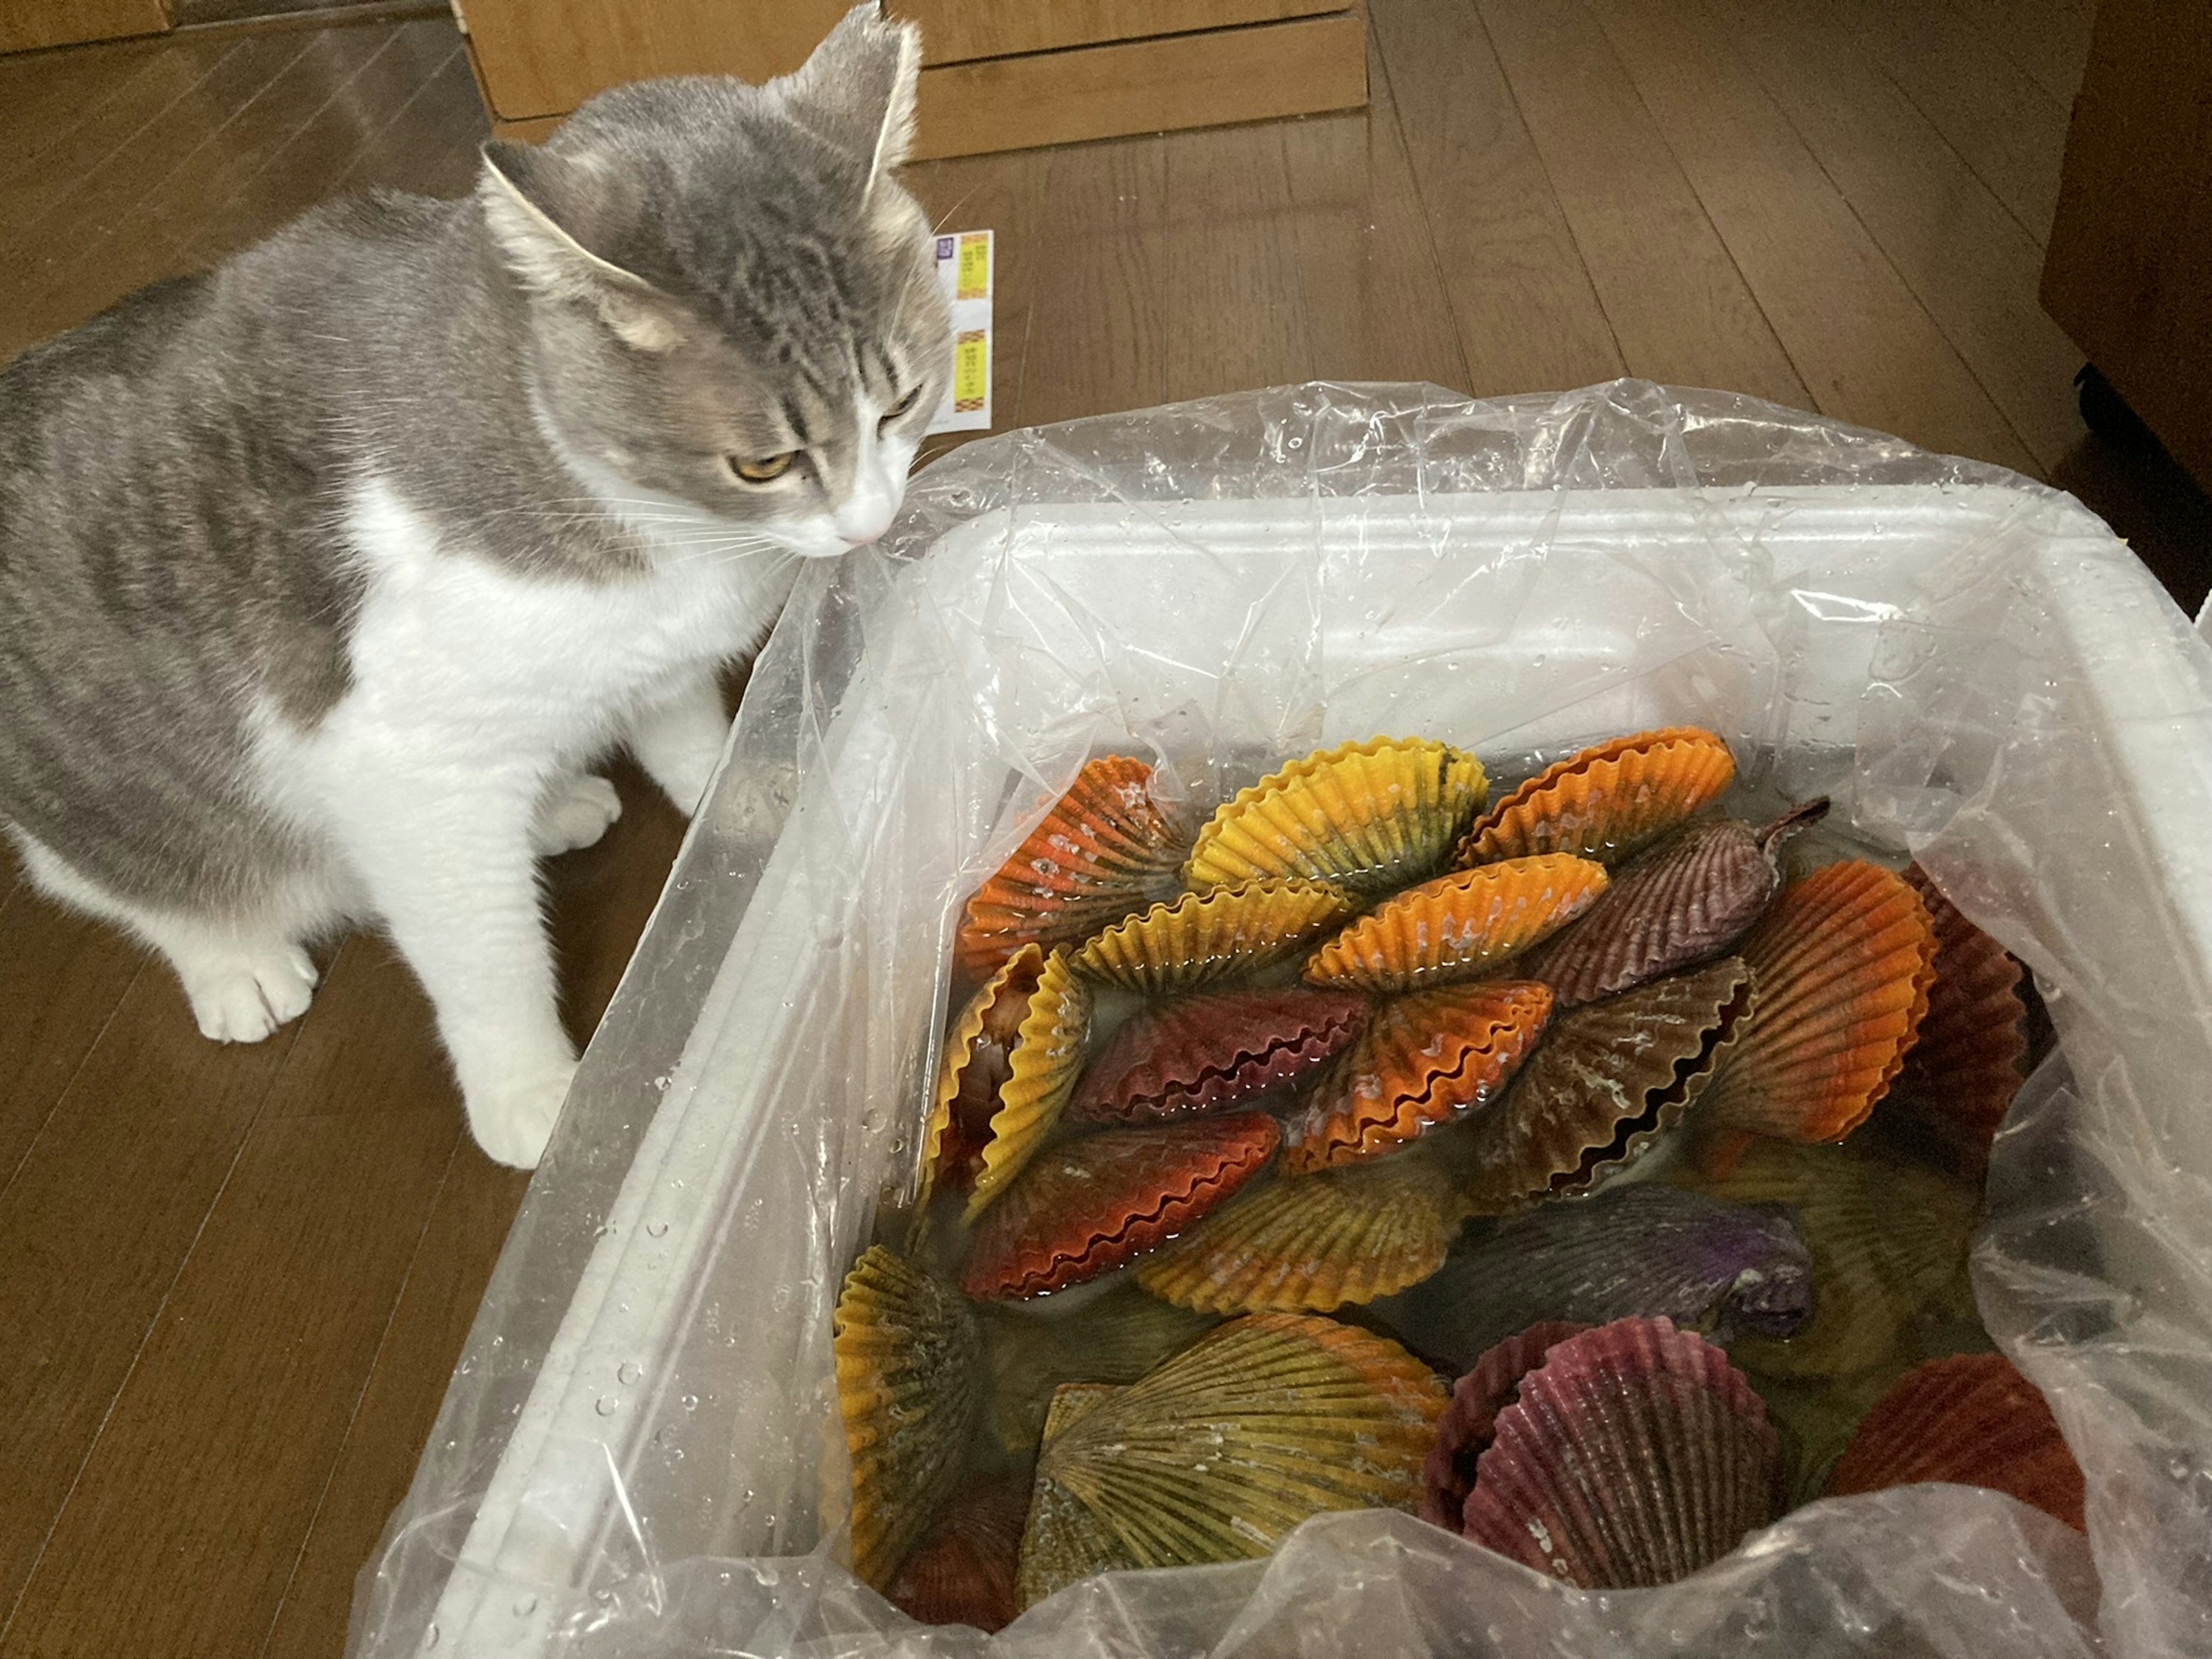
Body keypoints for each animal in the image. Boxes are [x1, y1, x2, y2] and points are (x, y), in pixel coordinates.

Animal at [0, 6, 942, 1168]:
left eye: (900, 401)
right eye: (762, 464)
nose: (873, 523)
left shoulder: (646, 659)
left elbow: (680, 726)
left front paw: (745, 783)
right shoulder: (406, 769)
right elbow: (487, 959)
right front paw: (534, 1096)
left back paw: (556, 806)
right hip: (107, 793)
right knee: (129, 881)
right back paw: (237, 963)